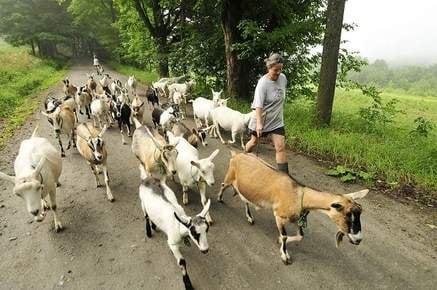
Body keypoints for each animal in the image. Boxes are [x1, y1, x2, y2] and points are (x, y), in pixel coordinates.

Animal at [218, 152, 368, 266]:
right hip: (230, 176)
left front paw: (279, 241)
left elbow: (301, 236)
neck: (298, 195)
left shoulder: (297, 218)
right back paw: (220, 199)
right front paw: (285, 255)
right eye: (347, 214)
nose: (359, 239)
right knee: (223, 185)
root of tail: (236, 154)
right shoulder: (279, 216)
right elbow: (285, 236)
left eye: (360, 212)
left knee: (245, 200)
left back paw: (249, 217)